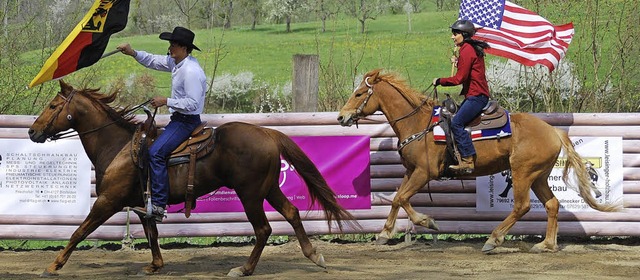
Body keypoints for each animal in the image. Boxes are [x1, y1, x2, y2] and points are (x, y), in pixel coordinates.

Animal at [28, 80, 356, 276]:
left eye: (53, 106)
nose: (32, 131)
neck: (118, 146)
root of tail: (267, 133)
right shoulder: (143, 203)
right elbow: (151, 233)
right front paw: (155, 265)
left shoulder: (108, 201)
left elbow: (79, 231)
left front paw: (54, 265)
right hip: (269, 188)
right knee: (292, 212)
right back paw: (314, 256)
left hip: (250, 193)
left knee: (263, 229)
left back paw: (244, 269)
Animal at [338, 69, 616, 253]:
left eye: (359, 93)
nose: (341, 117)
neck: (418, 124)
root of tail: (553, 131)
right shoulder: (411, 171)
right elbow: (397, 198)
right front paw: (384, 234)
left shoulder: (424, 173)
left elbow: (403, 198)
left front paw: (427, 221)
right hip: (539, 176)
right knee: (552, 204)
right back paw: (546, 244)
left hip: (523, 172)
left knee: (522, 206)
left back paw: (493, 239)